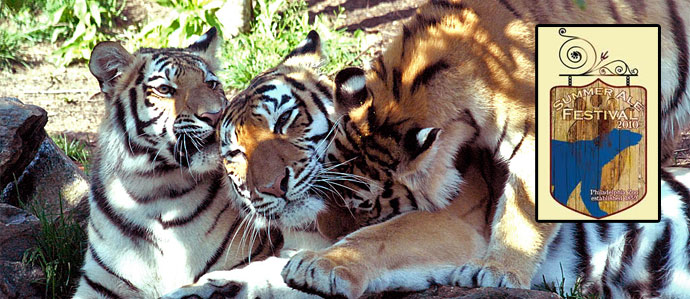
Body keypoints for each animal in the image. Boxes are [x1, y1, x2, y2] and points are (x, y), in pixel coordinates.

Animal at [163, 0, 688, 299]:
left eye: (285, 121)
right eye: (232, 153)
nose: (268, 188)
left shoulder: (460, 218)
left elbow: (382, 237)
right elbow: (268, 270)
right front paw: (209, 287)